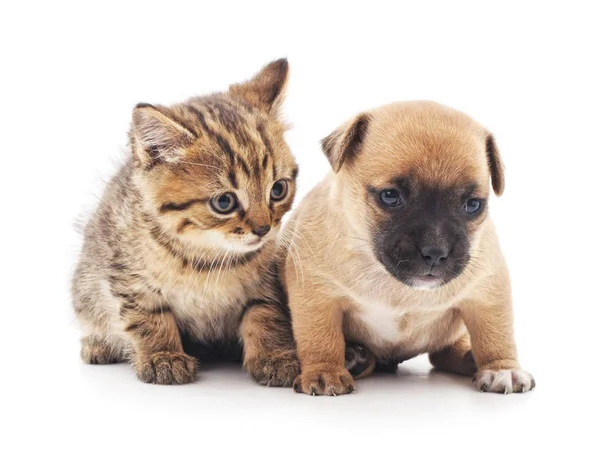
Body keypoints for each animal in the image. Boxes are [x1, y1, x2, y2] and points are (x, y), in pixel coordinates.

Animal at [72, 58, 300, 384]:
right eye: (224, 202)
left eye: (278, 189)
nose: (263, 229)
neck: (205, 257)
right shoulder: (128, 278)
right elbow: (148, 317)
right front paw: (163, 356)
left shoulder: (267, 280)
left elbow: (265, 312)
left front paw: (275, 357)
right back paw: (98, 344)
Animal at [284, 101, 536, 394]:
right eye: (390, 197)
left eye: (473, 205)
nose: (436, 252)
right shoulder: (315, 293)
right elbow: (319, 336)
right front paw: (325, 371)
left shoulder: (488, 290)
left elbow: (496, 332)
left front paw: (502, 368)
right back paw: (354, 358)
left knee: (444, 352)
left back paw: (468, 357)